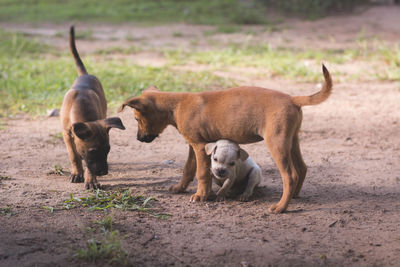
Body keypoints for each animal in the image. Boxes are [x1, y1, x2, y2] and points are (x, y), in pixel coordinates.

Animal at [61, 26, 125, 191]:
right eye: (93, 151)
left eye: (108, 149)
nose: (104, 172)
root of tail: (86, 74)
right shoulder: (66, 134)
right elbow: (74, 155)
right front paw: (77, 172)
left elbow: (88, 165)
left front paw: (91, 179)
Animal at [118, 66, 332, 215]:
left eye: (136, 119)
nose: (138, 138)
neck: (176, 105)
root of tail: (293, 99)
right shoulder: (193, 146)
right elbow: (188, 169)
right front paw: (180, 188)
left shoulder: (199, 147)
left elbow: (201, 174)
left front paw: (200, 196)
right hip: (292, 140)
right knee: (302, 167)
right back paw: (294, 195)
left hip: (277, 143)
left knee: (290, 175)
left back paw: (281, 207)